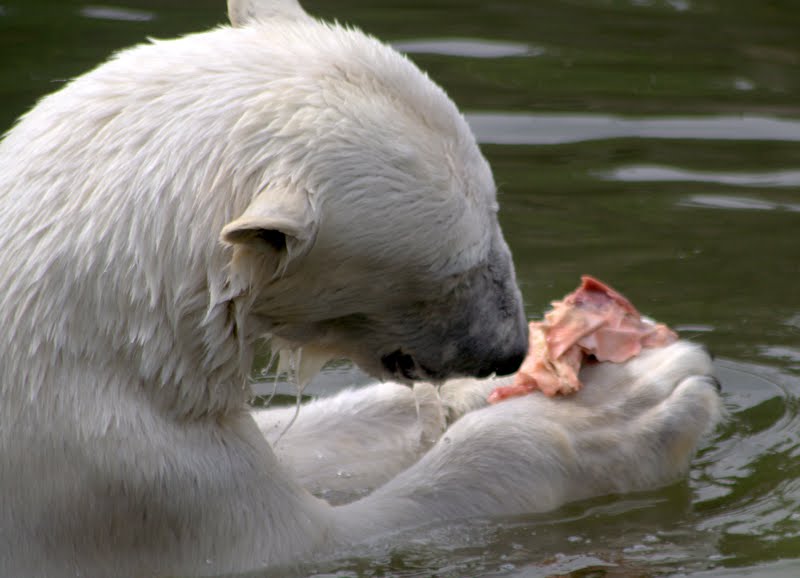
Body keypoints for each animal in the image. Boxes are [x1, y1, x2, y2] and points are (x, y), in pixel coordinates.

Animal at [0, 1, 724, 576]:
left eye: (495, 214)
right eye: (456, 268)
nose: (508, 349)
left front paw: (473, 399)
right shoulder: (115, 481)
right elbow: (340, 534)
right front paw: (631, 403)